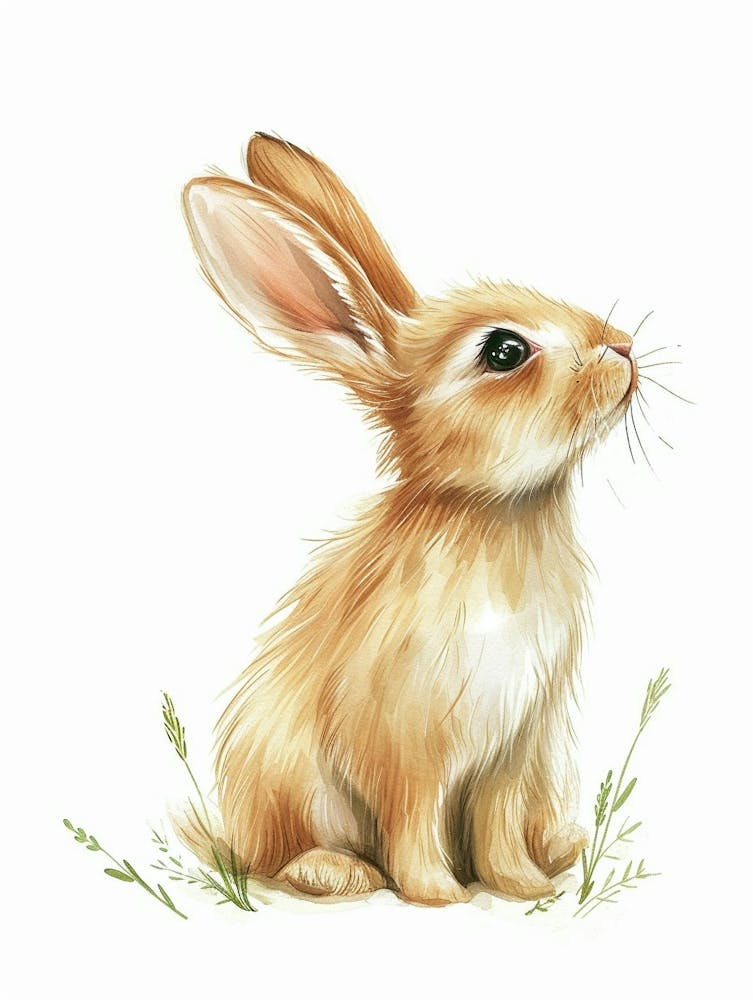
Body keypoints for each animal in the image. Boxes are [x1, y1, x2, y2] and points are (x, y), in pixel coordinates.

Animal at [178, 132, 638, 906]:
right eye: (505, 351)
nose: (624, 347)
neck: (491, 511)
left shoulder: (516, 746)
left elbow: (495, 823)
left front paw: (521, 888)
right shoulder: (404, 743)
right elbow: (414, 818)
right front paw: (437, 894)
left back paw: (558, 849)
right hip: (289, 784)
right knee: (279, 854)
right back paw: (332, 870)